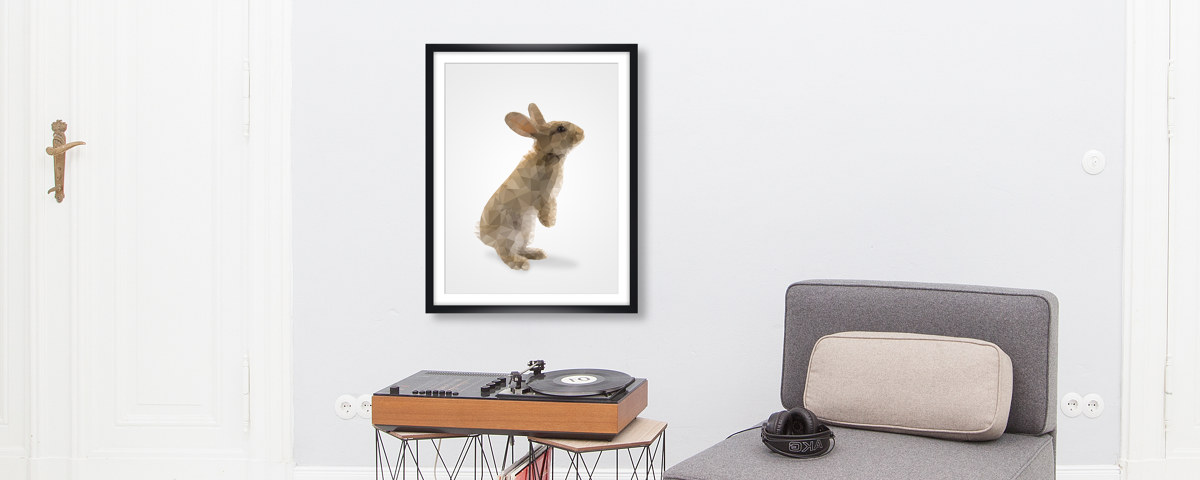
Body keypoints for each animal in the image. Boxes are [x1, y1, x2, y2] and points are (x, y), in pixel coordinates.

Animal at [477, 103, 585, 270]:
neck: (548, 154)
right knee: (504, 252)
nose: (582, 132)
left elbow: (552, 205)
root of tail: (484, 238)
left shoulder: (551, 195)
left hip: (525, 232)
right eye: (561, 128)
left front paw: (550, 222)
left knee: (518, 248)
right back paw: (520, 264)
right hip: (508, 233)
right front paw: (549, 223)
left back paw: (537, 253)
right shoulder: (543, 194)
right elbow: (546, 208)